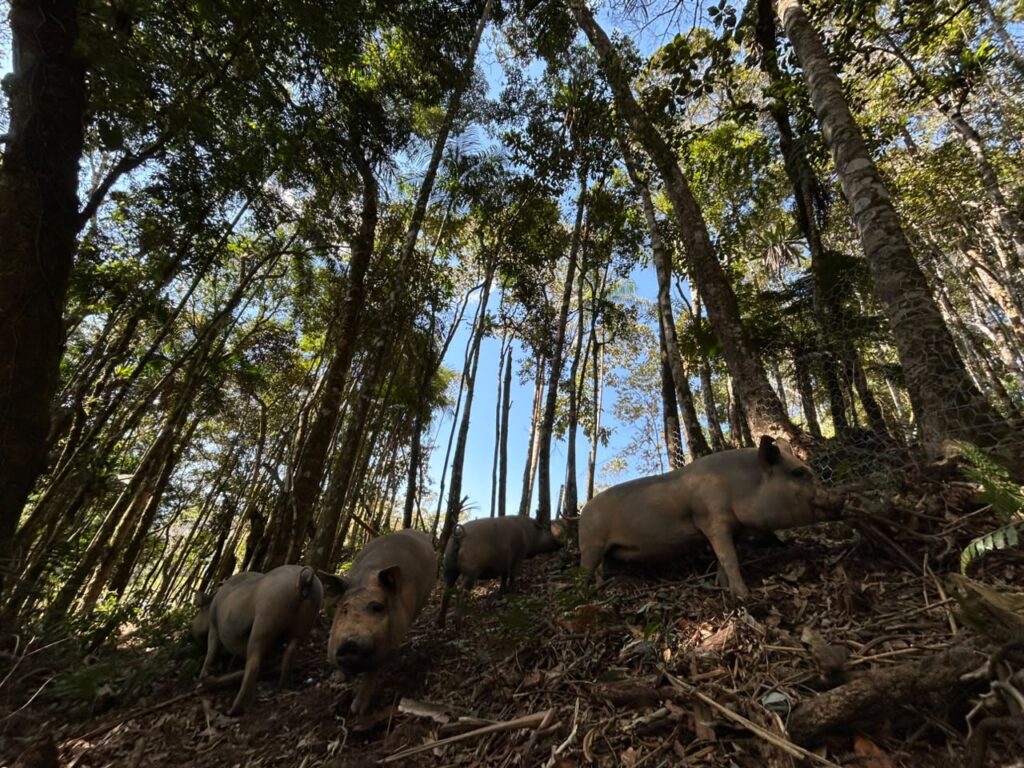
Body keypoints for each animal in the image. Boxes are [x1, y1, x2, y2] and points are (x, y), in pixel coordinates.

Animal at [193, 564, 323, 715]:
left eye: (199, 611)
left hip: (266, 618)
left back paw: (234, 709)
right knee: (290, 653)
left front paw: (201, 679)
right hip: (305, 621)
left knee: (254, 662)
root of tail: (306, 578)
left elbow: (211, 653)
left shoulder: (214, 627)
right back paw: (284, 686)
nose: (191, 627)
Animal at [320, 529, 436, 715]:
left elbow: (372, 672)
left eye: (377, 607)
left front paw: (357, 711)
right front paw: (337, 680)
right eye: (344, 610)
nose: (349, 644)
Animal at [578, 435, 842, 598]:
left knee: (602, 570)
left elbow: (721, 560)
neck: (738, 486)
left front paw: (720, 586)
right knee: (585, 571)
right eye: (798, 473)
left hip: (608, 552)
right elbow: (729, 558)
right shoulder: (713, 520)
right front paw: (743, 595)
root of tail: (583, 511)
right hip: (591, 544)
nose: (840, 500)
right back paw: (584, 594)